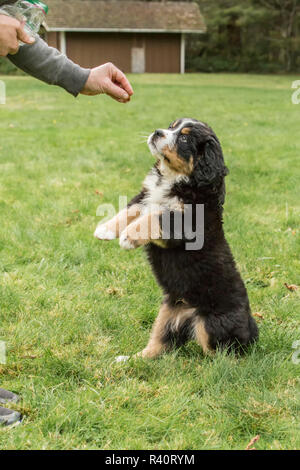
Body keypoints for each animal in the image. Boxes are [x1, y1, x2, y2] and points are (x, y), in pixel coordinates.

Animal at [94, 119, 258, 358]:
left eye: (184, 138)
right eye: (172, 126)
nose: (157, 132)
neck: (173, 178)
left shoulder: (184, 223)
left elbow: (154, 218)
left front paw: (128, 237)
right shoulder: (145, 198)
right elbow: (130, 210)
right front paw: (105, 229)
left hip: (211, 323)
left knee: (224, 352)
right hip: (167, 314)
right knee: (160, 346)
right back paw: (130, 359)